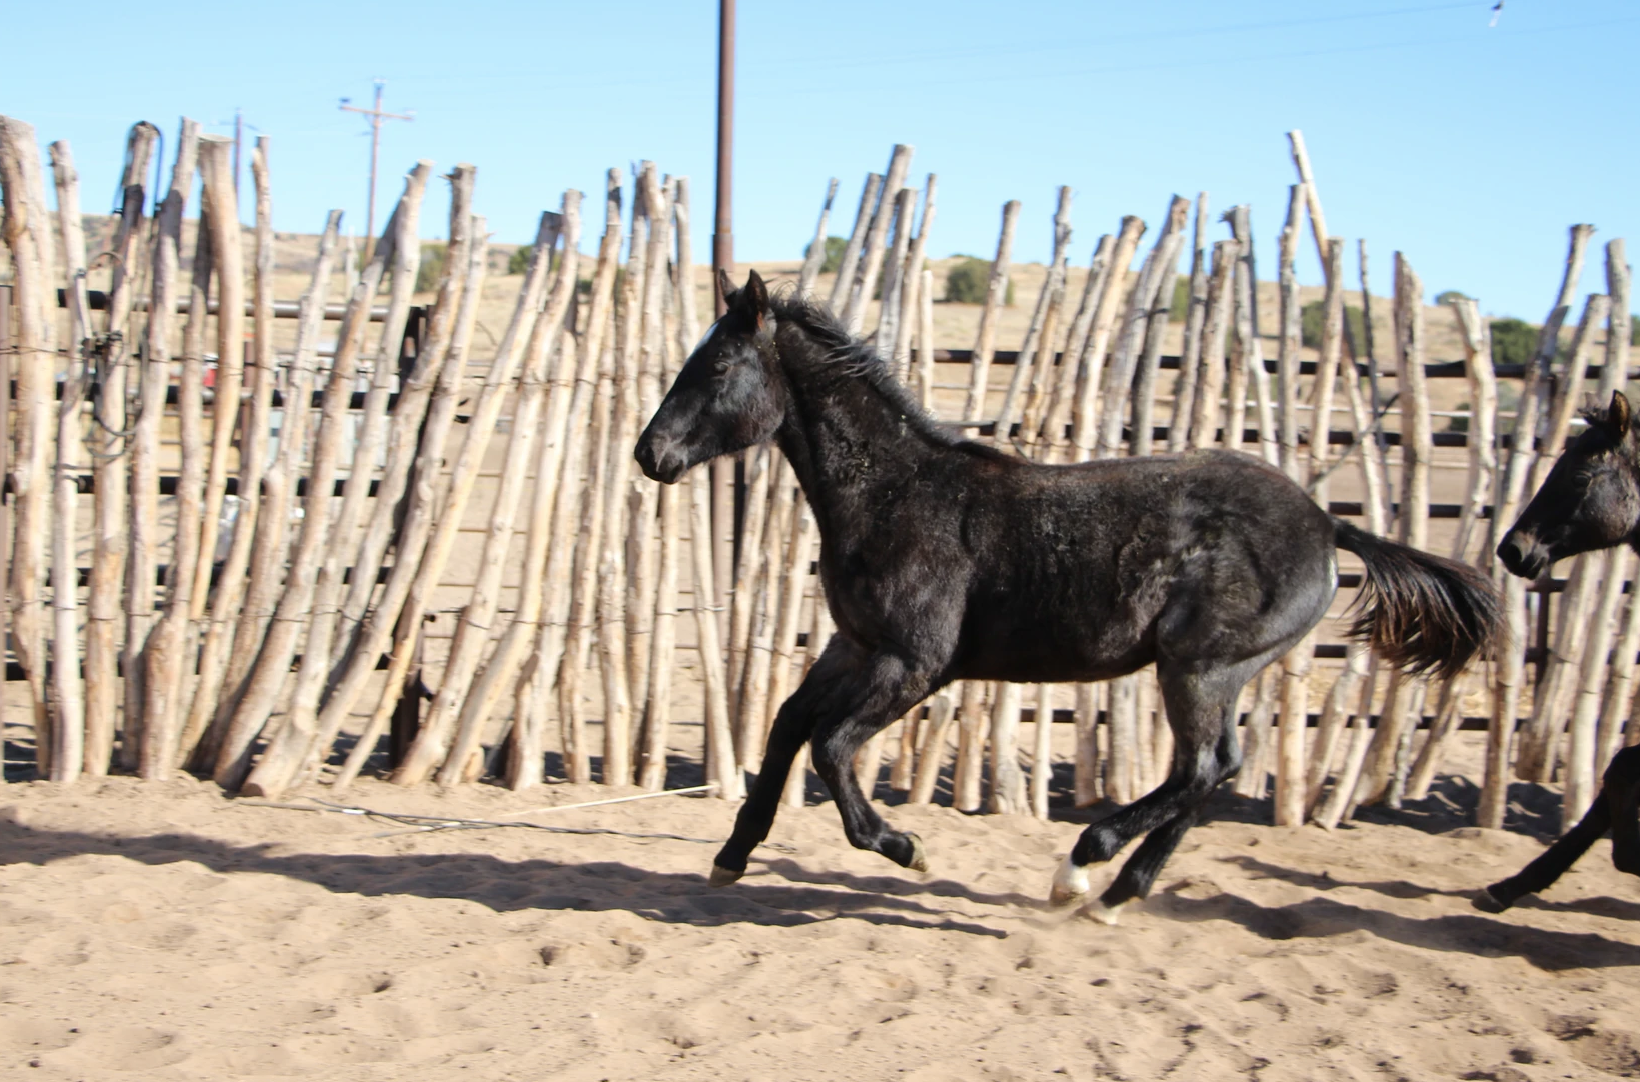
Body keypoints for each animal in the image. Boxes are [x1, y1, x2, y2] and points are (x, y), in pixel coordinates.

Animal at [636, 269, 1502, 921]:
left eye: (718, 368)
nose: (650, 454)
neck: (896, 493)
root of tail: (1327, 524)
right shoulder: (857, 647)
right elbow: (788, 724)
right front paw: (731, 855)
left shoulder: (915, 663)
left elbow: (832, 746)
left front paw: (905, 847)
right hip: (1217, 673)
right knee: (1213, 769)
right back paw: (1118, 895)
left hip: (1199, 667)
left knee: (1202, 768)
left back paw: (1082, 868)